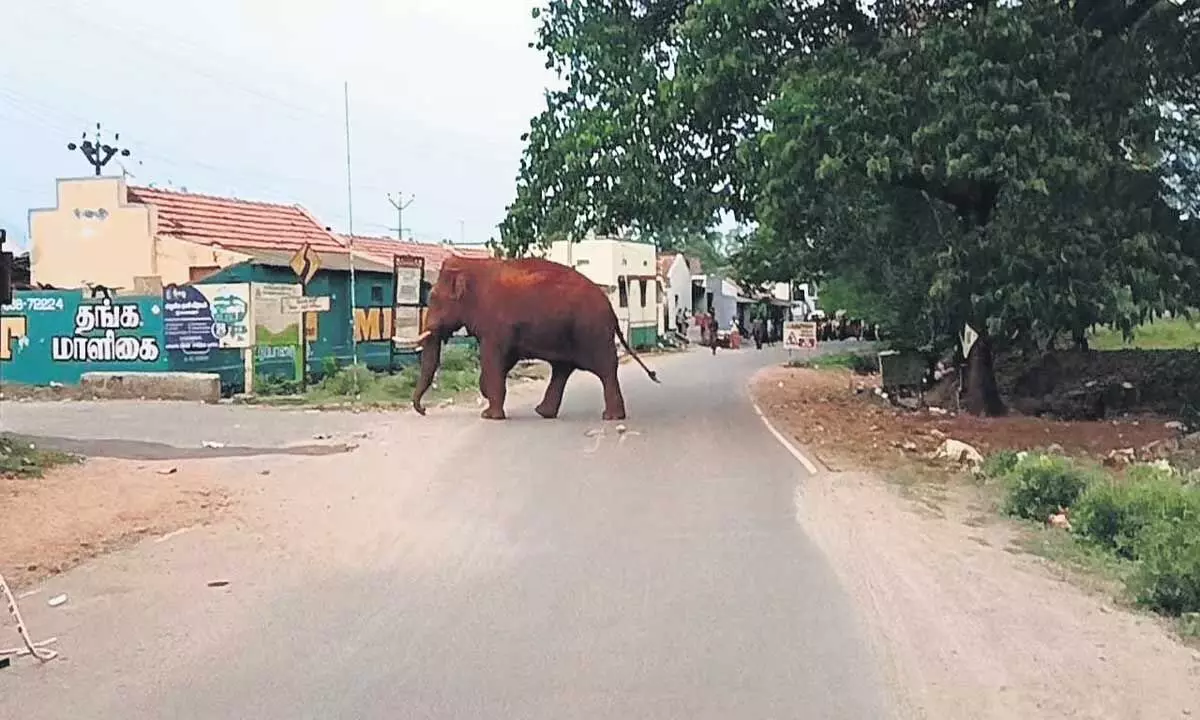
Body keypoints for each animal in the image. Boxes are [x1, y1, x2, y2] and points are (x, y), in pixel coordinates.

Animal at [410, 254, 657, 420]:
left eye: (433, 298)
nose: (424, 410)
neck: (472, 265)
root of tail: (611, 309)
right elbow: (504, 360)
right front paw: (487, 399)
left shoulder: (496, 324)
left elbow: (493, 358)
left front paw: (489, 415)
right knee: (562, 369)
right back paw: (544, 412)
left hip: (591, 331)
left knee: (605, 369)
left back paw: (611, 417)